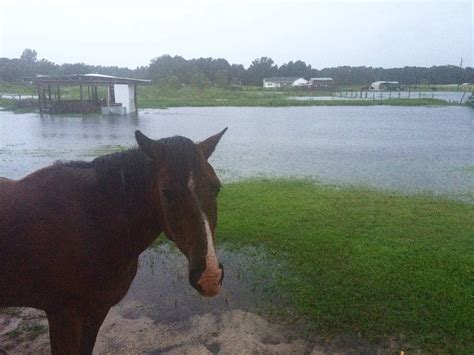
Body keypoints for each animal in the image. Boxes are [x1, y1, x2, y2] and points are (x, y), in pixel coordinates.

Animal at [0, 129, 228, 354]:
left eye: (217, 187)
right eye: (167, 192)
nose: (209, 277)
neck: (93, 222)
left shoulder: (96, 311)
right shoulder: (63, 316)